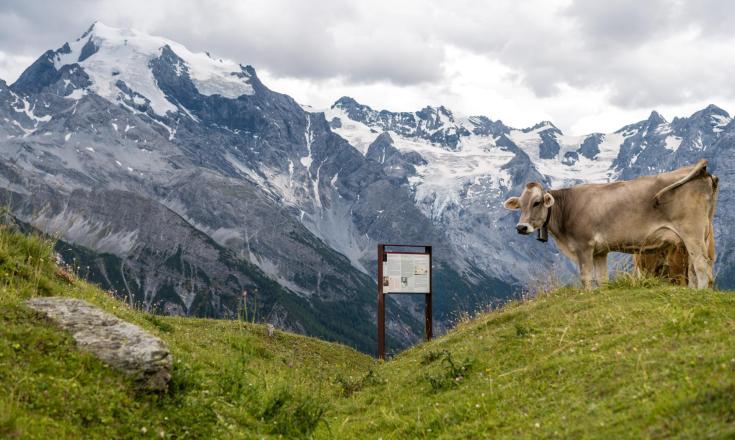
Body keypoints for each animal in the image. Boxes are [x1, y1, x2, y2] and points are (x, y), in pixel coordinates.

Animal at [504, 160, 720, 290]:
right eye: (520, 205)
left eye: (536, 202)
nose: (521, 227)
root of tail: (701, 170)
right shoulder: (601, 251)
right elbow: (603, 280)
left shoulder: (584, 246)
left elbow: (586, 278)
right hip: (699, 236)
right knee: (694, 270)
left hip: (692, 233)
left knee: (702, 268)